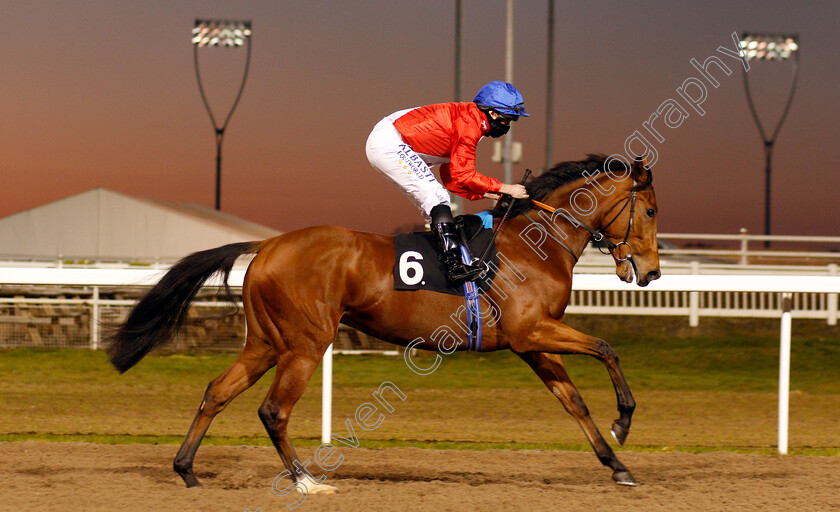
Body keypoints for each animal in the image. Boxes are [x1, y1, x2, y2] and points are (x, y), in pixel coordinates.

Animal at [105, 153, 660, 492]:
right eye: (651, 210)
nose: (651, 271)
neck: (535, 244)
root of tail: (267, 244)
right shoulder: (533, 332)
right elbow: (607, 348)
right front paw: (625, 420)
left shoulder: (532, 343)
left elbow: (574, 402)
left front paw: (618, 466)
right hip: (305, 345)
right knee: (273, 411)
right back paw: (307, 480)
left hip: (265, 342)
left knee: (217, 392)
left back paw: (186, 470)